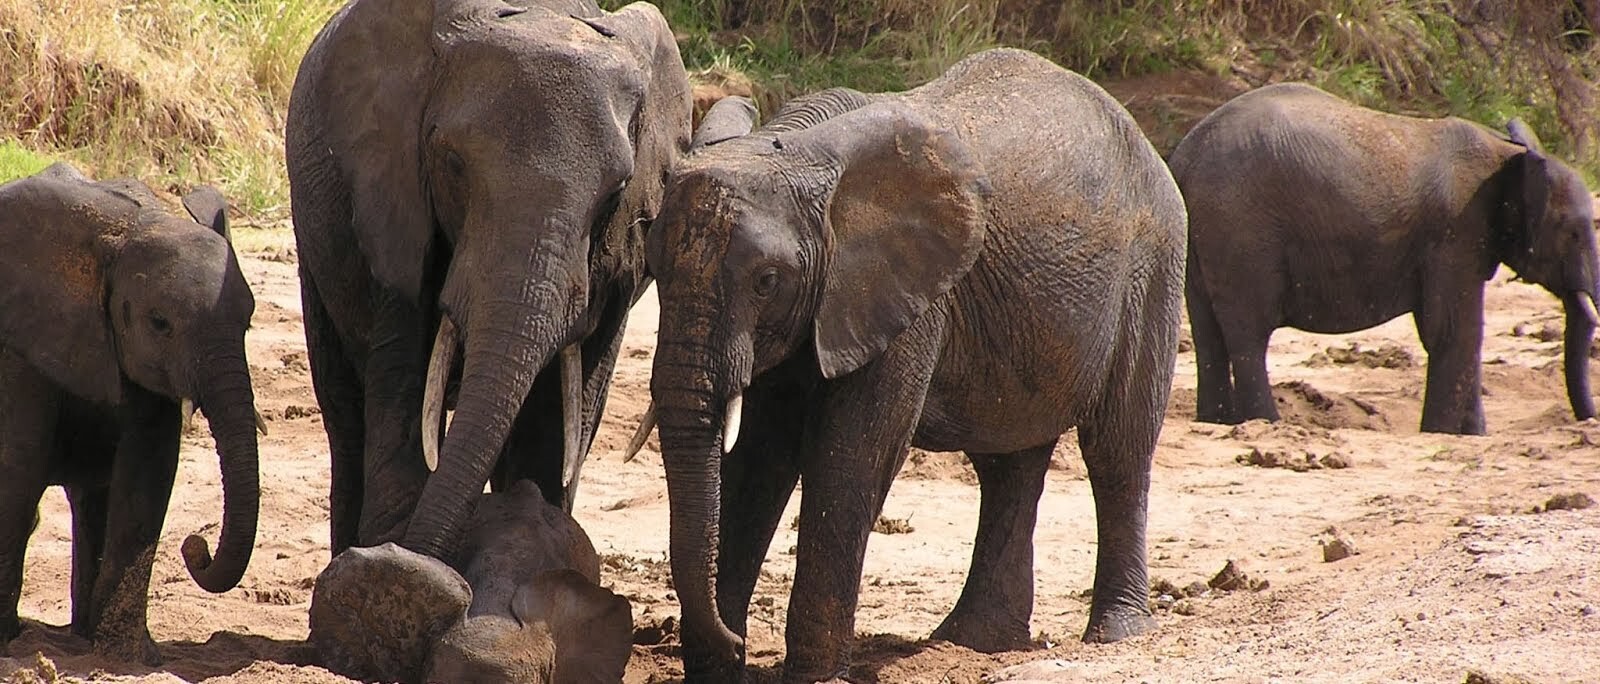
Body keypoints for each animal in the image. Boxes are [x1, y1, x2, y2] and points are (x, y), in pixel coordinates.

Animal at [0, 162, 262, 664]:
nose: (196, 545)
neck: (133, 226)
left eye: (248, 322)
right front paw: (5, 642)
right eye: (159, 323)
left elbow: (146, 477)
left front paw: (127, 656)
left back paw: (82, 636)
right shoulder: (18, 347)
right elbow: (18, 469)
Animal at [285, 0, 691, 559]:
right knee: (344, 417)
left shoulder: (618, 264)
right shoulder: (390, 198)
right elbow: (402, 376)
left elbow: (556, 421)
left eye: (618, 190)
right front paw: (392, 561)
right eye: (453, 164)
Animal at [637, 48, 1187, 682]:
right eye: (651, 268)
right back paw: (972, 644)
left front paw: (812, 675)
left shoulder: (906, 297)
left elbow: (855, 453)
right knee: (1009, 465)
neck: (798, 150)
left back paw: (1115, 635)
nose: (735, 644)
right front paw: (718, 668)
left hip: (1154, 266)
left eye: (766, 281)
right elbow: (759, 454)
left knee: (1118, 450)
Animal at [1169, 83, 1600, 434]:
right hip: (1242, 231)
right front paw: (1445, 435)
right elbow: (1453, 329)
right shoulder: (1457, 231)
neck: (1510, 155)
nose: (1587, 421)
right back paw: (1267, 424)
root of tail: (1183, 158)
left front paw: (1470, 436)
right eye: (1575, 232)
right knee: (1249, 333)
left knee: (1209, 332)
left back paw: (1216, 422)